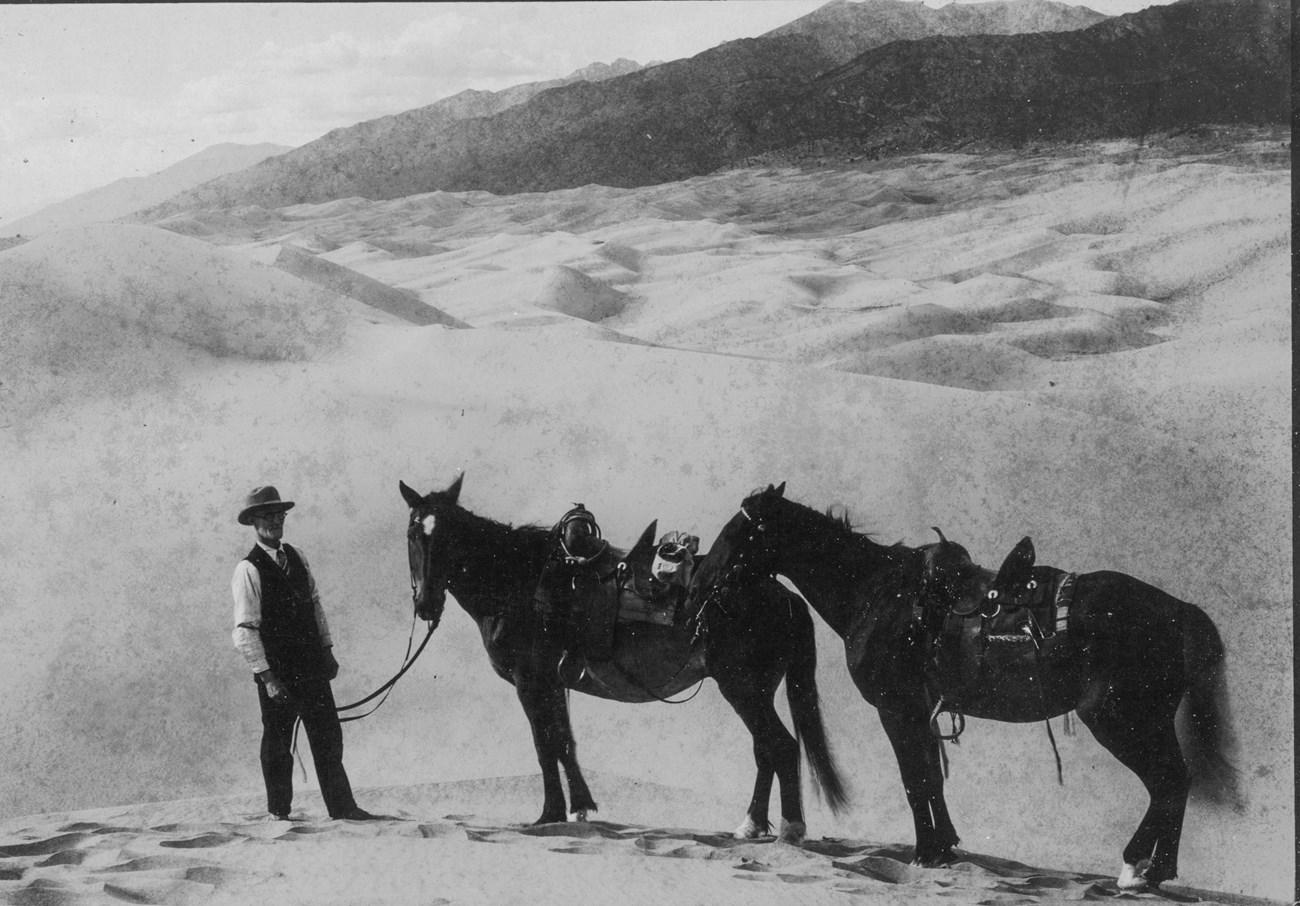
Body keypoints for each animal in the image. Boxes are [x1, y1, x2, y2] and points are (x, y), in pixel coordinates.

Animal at [395, 478, 847, 837]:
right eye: (413, 533)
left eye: (450, 536)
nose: (426, 604)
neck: (517, 581)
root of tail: (785, 595)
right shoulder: (554, 681)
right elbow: (565, 741)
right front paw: (579, 808)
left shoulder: (530, 681)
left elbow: (545, 743)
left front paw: (548, 814)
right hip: (756, 689)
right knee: (764, 749)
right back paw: (750, 825)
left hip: (742, 687)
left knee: (781, 746)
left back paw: (791, 828)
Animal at [686, 483, 1242, 889]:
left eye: (736, 533)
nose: (695, 586)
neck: (878, 595)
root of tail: (1178, 611)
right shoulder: (922, 710)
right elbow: (932, 777)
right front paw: (944, 848)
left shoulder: (896, 709)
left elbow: (914, 781)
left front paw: (924, 853)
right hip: (1144, 720)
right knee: (1175, 782)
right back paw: (1157, 870)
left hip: (1119, 719)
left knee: (1166, 782)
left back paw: (1135, 868)